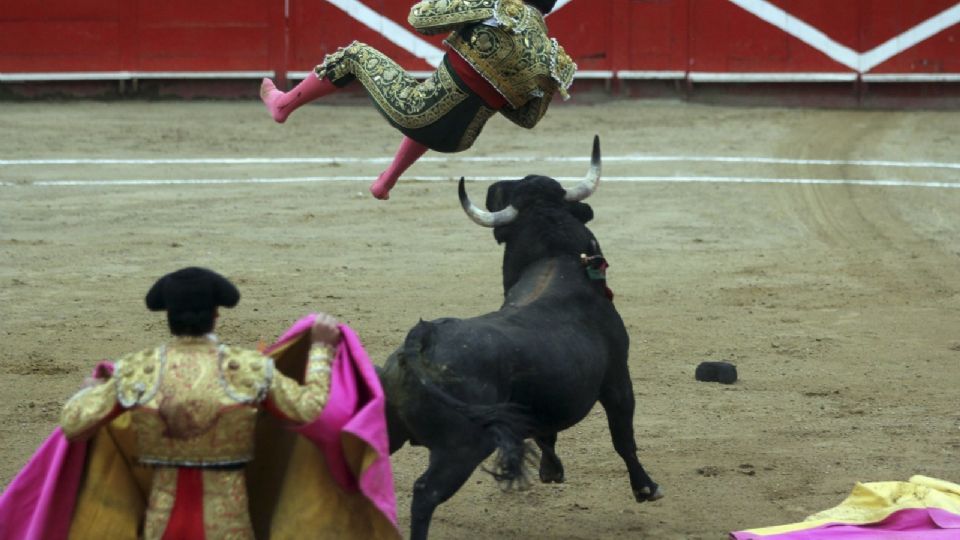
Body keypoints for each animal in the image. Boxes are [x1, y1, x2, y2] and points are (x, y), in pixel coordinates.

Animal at [378, 137, 664, 536]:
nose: (494, 187)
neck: (557, 261)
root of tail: (422, 338)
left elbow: (547, 432)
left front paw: (551, 471)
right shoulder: (618, 379)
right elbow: (623, 438)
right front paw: (646, 488)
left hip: (388, 427)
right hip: (462, 446)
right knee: (424, 493)